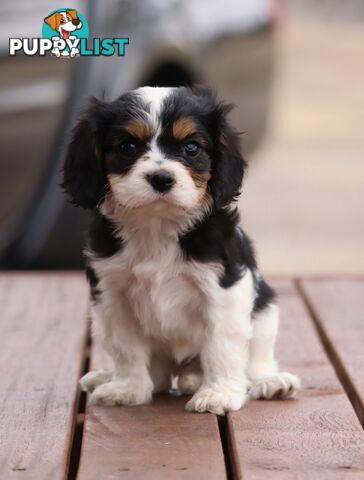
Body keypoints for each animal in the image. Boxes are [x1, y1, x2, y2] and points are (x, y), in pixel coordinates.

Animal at [62, 85, 300, 412]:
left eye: (191, 148)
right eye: (127, 147)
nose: (162, 178)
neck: (158, 224)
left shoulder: (223, 292)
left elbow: (221, 347)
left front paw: (218, 393)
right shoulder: (112, 297)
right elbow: (126, 348)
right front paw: (127, 388)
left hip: (266, 311)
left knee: (255, 363)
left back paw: (269, 382)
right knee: (160, 376)